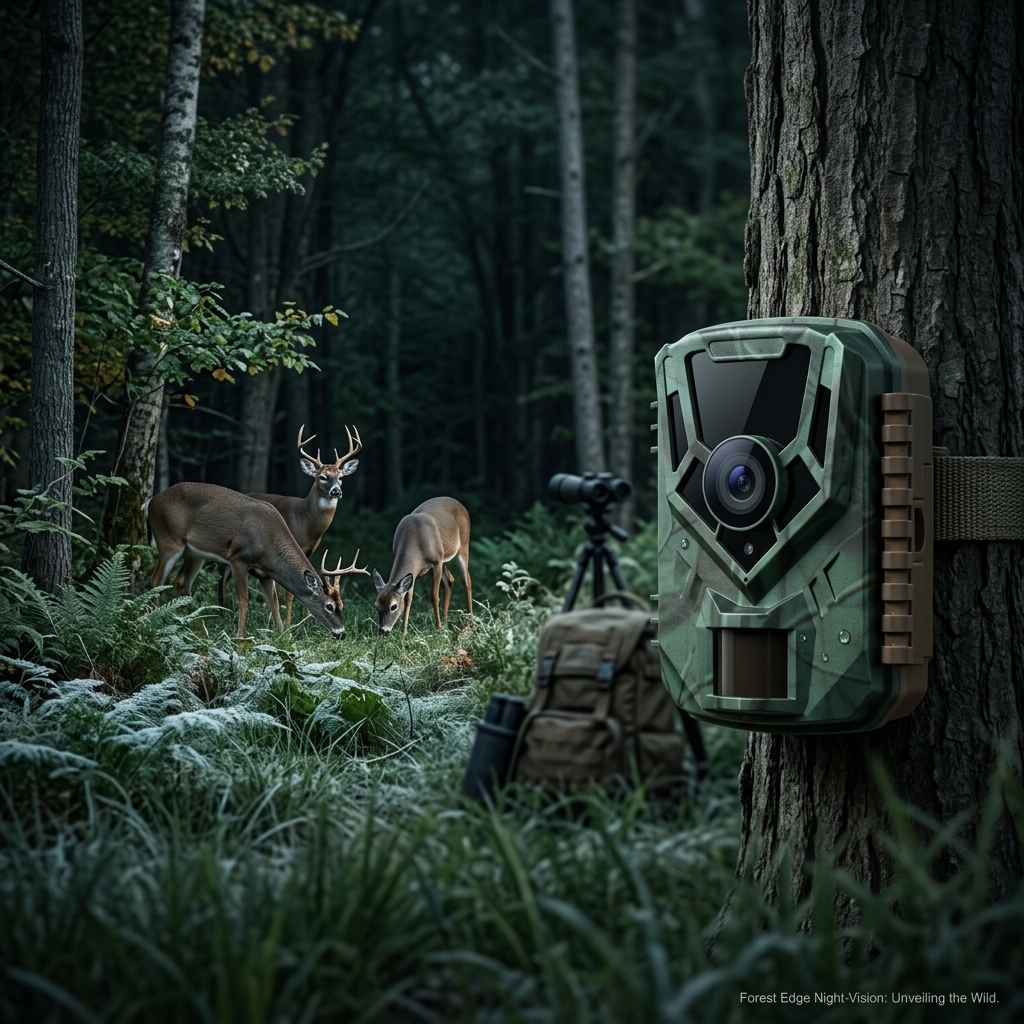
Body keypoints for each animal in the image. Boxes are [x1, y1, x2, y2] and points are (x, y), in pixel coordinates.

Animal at [147, 481, 365, 639]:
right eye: (329, 606)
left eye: (342, 606)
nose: (342, 633)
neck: (268, 544)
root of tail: (152, 501)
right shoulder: (238, 558)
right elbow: (244, 599)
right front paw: (240, 637)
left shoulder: (265, 574)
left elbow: (274, 603)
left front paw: (282, 635)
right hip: (168, 539)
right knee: (156, 580)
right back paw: (157, 619)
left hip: (195, 553)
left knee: (181, 582)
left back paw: (192, 621)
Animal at [218, 424, 362, 626]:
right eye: (322, 477)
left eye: (340, 477)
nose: (336, 491)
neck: (304, 522)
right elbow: (289, 593)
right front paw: (288, 624)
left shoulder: (308, 551)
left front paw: (309, 621)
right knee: (222, 575)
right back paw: (223, 613)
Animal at [372, 497, 473, 635]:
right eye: (376, 605)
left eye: (393, 606)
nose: (383, 631)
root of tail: (459, 503)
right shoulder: (414, 572)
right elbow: (408, 599)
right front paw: (404, 633)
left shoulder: (436, 562)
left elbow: (434, 596)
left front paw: (438, 630)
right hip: (444, 558)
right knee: (450, 580)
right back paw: (446, 622)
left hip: (462, 546)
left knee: (467, 580)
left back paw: (469, 625)